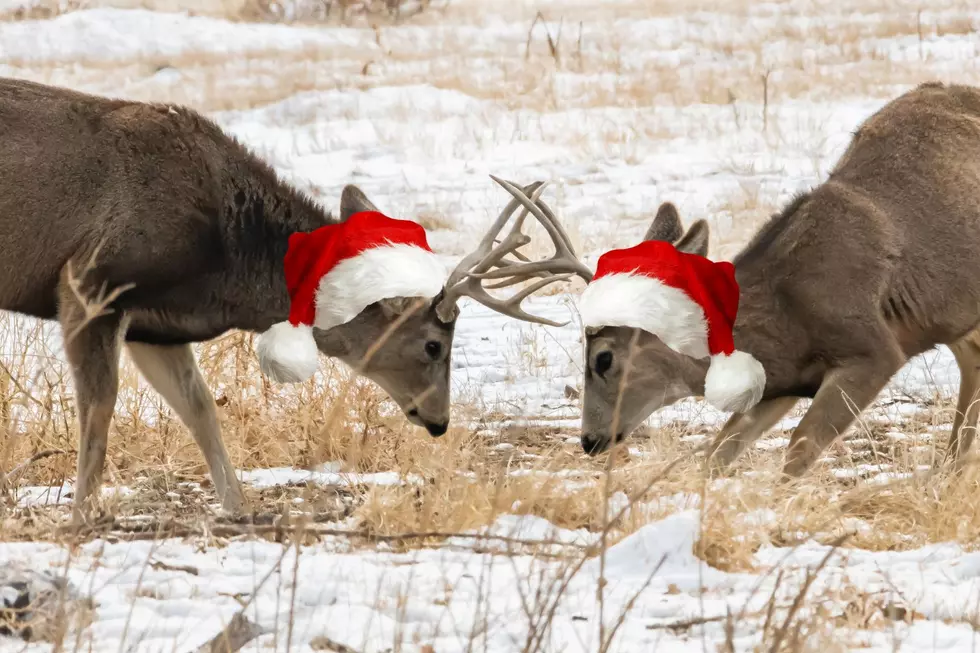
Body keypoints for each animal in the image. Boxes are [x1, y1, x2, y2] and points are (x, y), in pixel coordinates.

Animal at [0, 76, 580, 524]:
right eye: (434, 345)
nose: (439, 420)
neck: (227, 257)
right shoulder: (90, 280)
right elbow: (99, 404)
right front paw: (83, 513)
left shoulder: (156, 325)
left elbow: (199, 407)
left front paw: (238, 507)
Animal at [498, 80, 980, 478]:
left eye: (603, 358)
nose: (590, 440)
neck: (784, 312)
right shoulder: (778, 381)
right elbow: (718, 454)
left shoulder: (873, 348)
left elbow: (798, 449)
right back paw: (948, 474)